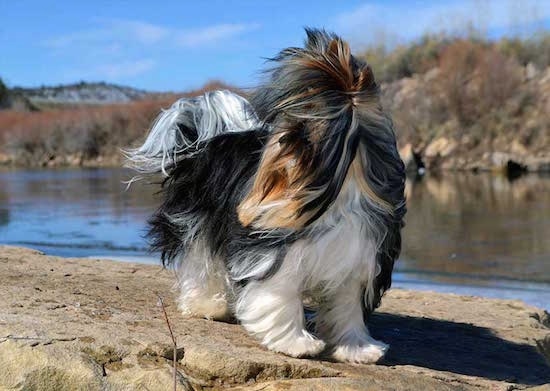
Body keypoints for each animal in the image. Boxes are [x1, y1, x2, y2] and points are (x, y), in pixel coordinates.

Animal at [127, 28, 408, 364]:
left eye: (302, 127)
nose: (279, 143)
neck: (339, 191)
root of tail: (203, 145)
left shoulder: (358, 254)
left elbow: (347, 305)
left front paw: (356, 348)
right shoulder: (274, 251)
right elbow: (280, 295)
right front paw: (296, 342)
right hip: (196, 222)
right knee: (200, 260)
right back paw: (207, 305)